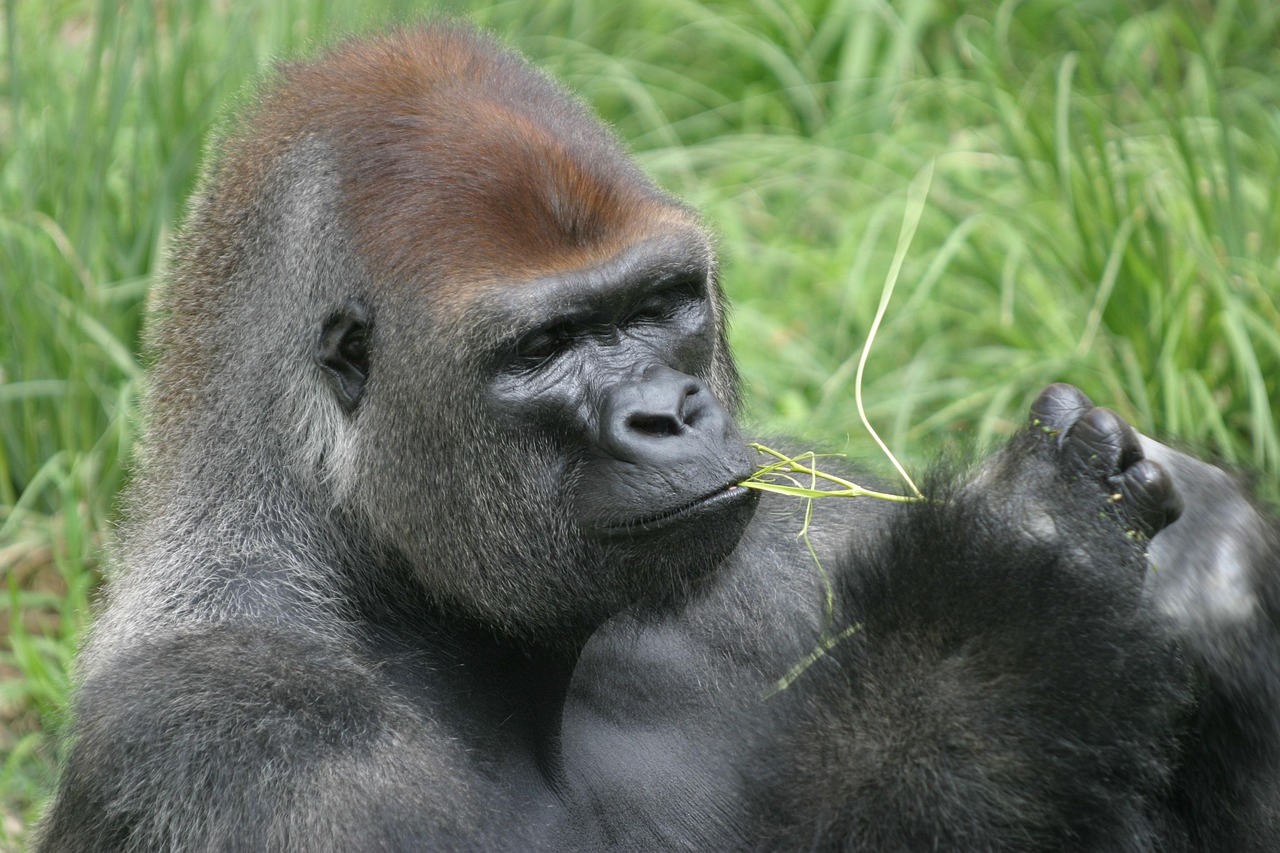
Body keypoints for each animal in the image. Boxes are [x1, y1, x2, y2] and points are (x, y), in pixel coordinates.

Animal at [36, 23, 1280, 852]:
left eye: (659, 304)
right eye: (544, 347)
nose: (669, 413)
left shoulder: (783, 546)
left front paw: (1212, 582)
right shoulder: (248, 731)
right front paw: (1015, 585)